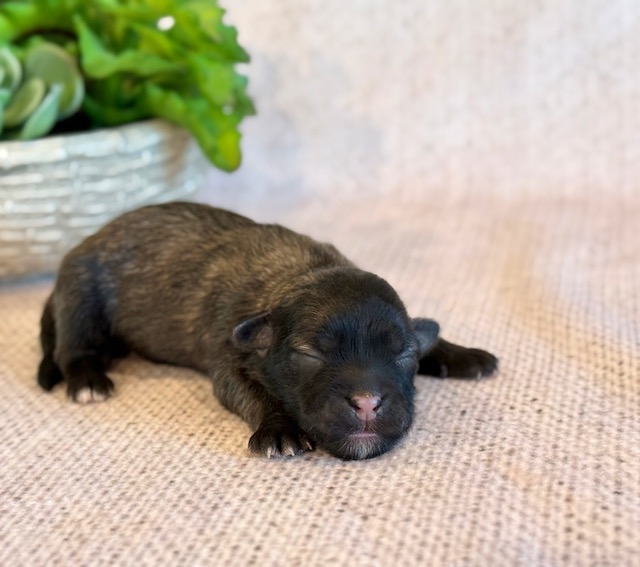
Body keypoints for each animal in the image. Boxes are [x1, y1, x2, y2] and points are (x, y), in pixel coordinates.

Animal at [38, 202, 498, 460]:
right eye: (311, 355)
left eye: (404, 355)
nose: (367, 403)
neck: (303, 272)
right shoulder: (228, 356)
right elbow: (255, 392)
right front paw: (279, 430)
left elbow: (427, 333)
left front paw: (463, 354)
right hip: (81, 293)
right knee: (71, 348)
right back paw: (88, 379)